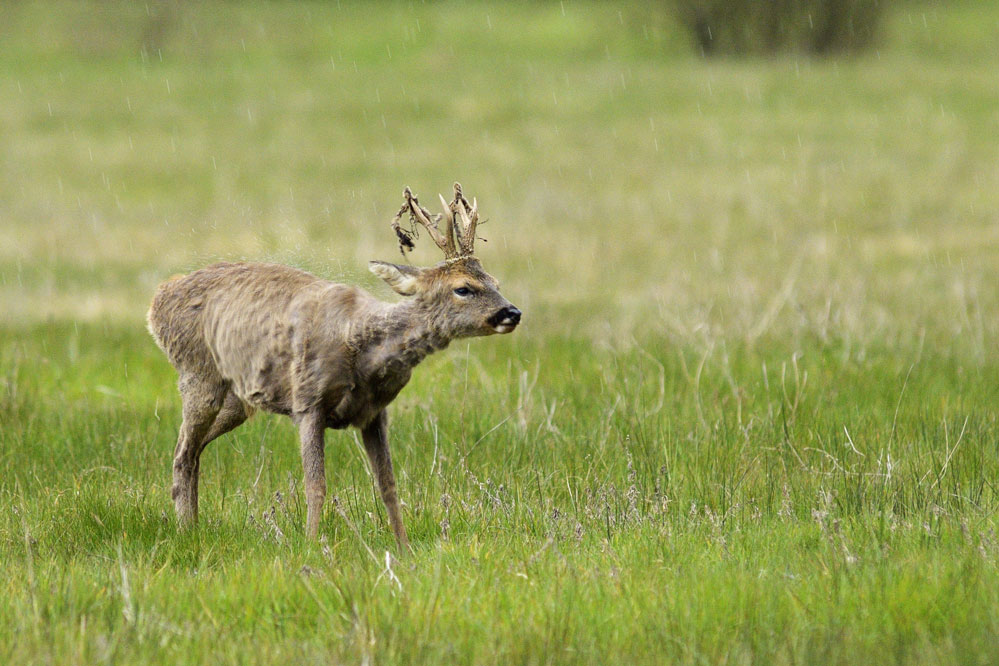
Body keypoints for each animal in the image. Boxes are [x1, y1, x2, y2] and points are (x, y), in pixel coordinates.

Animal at [150, 183, 524, 544]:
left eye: (495, 283)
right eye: (463, 288)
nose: (512, 312)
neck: (363, 348)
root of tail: (159, 299)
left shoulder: (375, 413)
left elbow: (388, 487)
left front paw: (403, 548)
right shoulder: (307, 402)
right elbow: (316, 486)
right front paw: (312, 546)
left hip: (238, 399)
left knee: (194, 449)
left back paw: (193, 525)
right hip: (197, 373)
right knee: (183, 451)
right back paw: (185, 530)